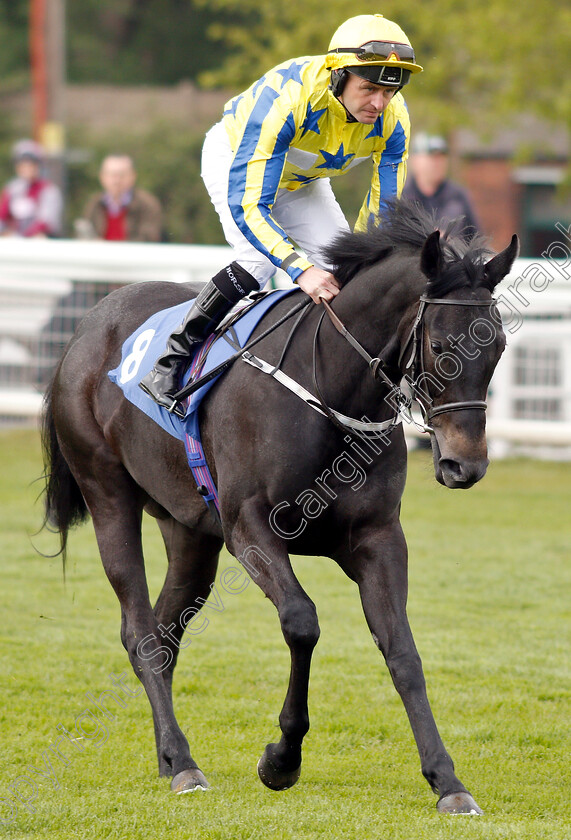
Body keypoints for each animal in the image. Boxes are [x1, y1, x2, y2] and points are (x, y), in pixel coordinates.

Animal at [41, 203, 520, 812]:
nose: (466, 464)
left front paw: (447, 781)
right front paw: (281, 759)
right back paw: (183, 763)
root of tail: (87, 325)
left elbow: (403, 651)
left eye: (497, 345)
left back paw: (170, 755)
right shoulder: (250, 529)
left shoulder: (378, 538)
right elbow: (302, 622)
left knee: (164, 634)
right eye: (439, 345)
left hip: (191, 532)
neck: (332, 390)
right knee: (139, 631)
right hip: (108, 497)